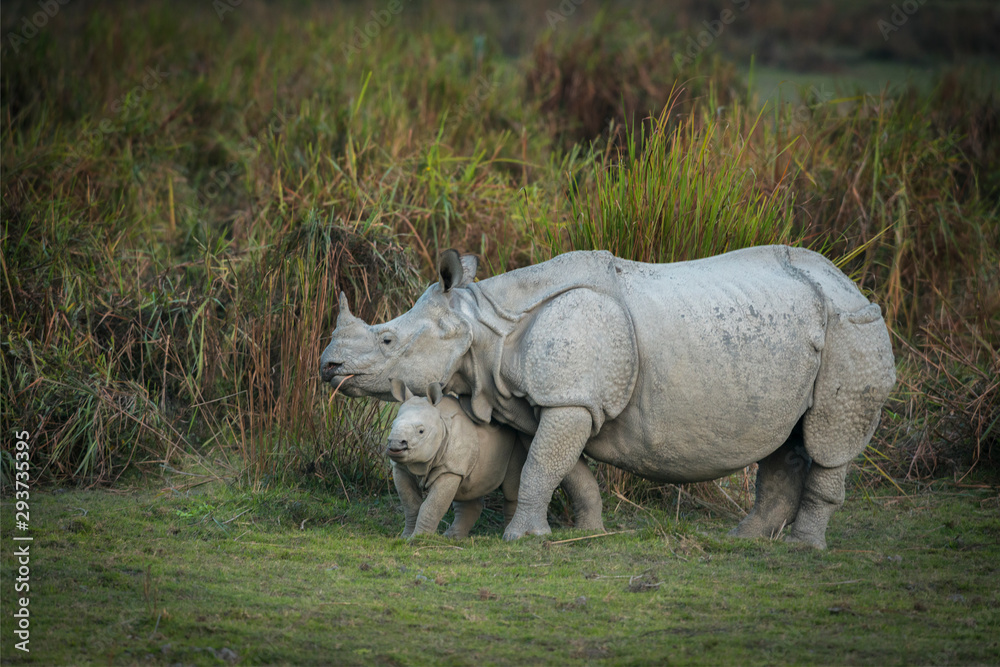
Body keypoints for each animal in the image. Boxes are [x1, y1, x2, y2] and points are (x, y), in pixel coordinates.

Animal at [386, 380, 527, 538]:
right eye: (392, 426)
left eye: (421, 431)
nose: (395, 444)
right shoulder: (401, 467)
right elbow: (410, 505)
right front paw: (405, 537)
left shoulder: (449, 469)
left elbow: (430, 506)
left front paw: (418, 539)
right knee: (467, 490)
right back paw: (452, 537)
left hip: (517, 441)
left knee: (511, 489)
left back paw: (509, 535)